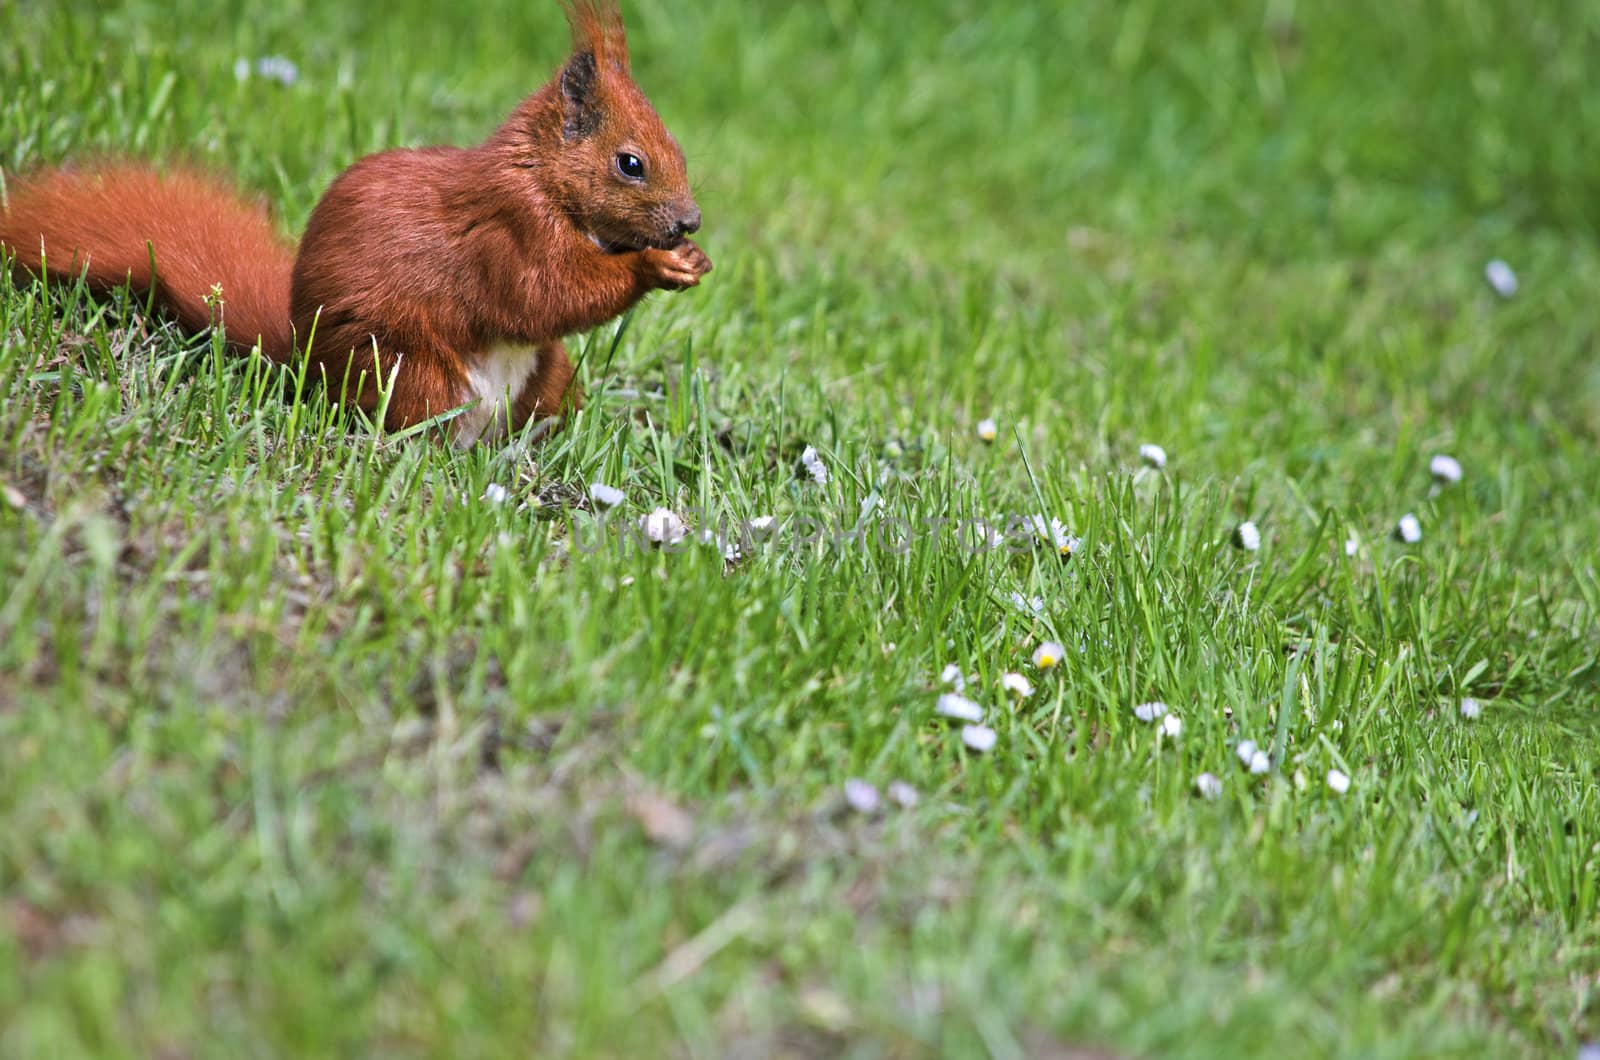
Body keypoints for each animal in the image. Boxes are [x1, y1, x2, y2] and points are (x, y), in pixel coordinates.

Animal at [0, 0, 713, 448]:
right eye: (630, 163)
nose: (690, 221)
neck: (542, 178)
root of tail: (299, 358)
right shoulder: (509, 231)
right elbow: (546, 293)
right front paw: (655, 265)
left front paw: (690, 261)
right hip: (407, 369)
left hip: (549, 377)